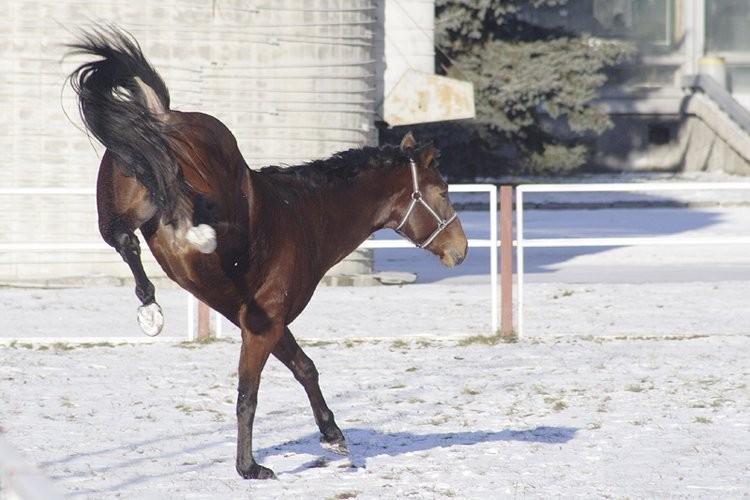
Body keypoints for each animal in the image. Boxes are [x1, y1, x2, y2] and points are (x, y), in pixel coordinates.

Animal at [69, 28, 470, 480]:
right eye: (443, 191)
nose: (461, 249)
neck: (306, 215)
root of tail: (164, 116)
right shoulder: (263, 326)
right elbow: (250, 393)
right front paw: (249, 466)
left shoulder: (269, 324)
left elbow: (303, 367)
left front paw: (332, 435)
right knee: (182, 208)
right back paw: (196, 238)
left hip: (124, 199)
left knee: (124, 237)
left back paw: (151, 308)